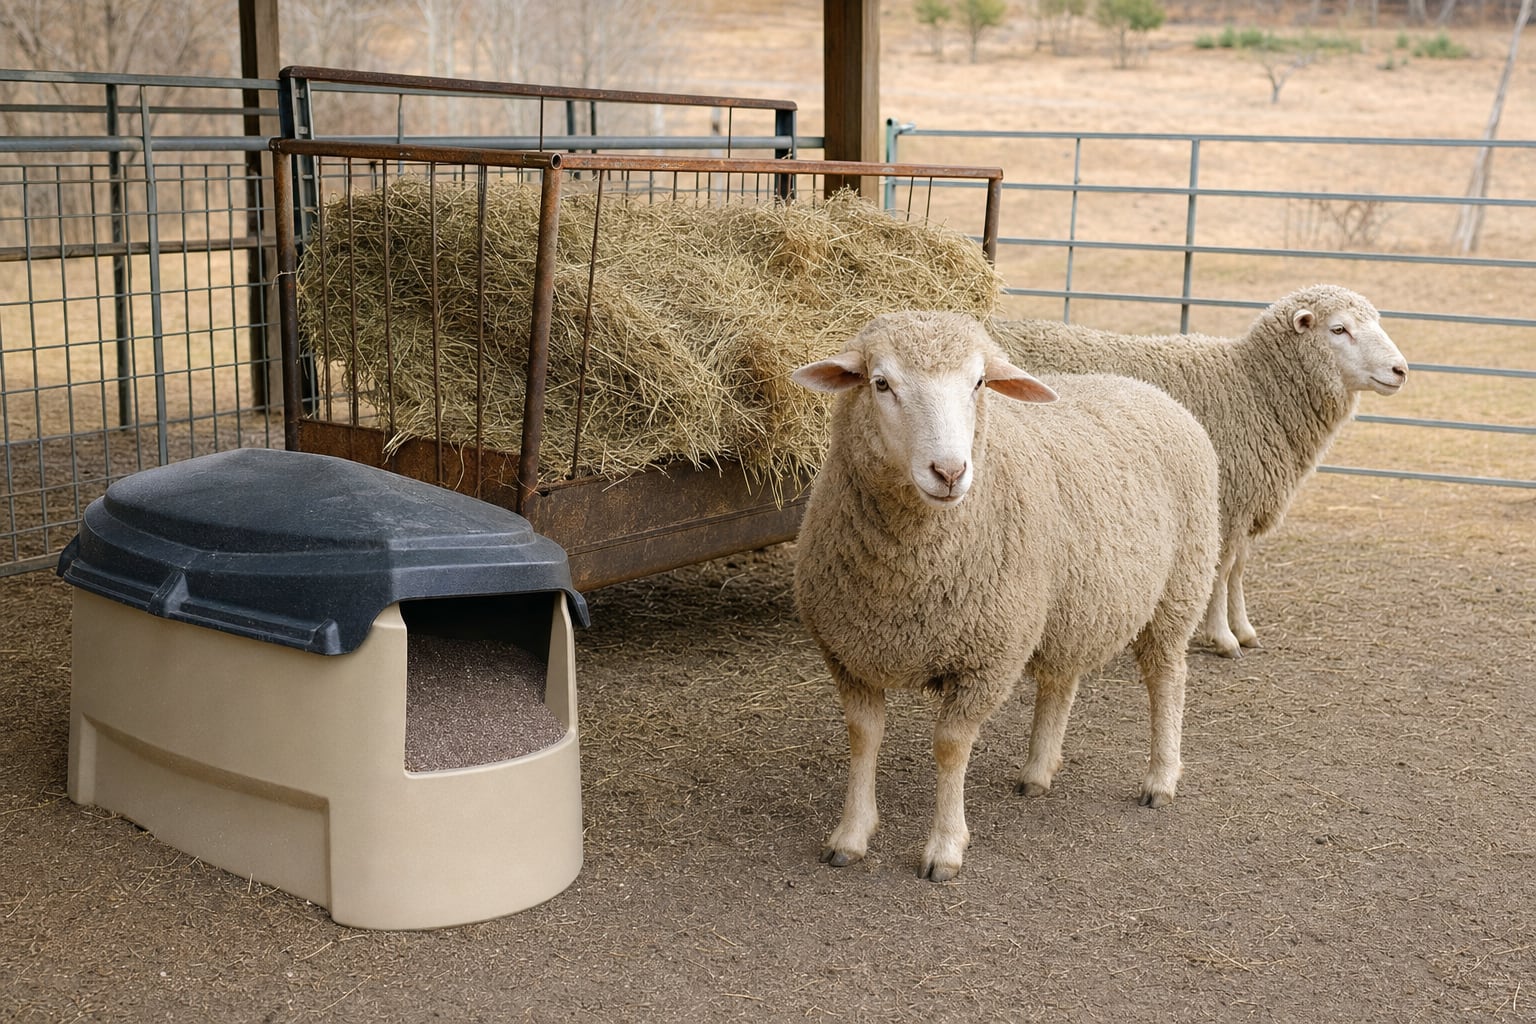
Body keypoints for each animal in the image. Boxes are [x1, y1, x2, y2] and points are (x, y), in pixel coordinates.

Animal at [791, 310, 1220, 882]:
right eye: (881, 383)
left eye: (978, 383)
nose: (949, 472)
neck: (907, 571)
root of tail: (1145, 387)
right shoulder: (847, 652)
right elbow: (863, 737)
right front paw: (851, 835)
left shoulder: (987, 657)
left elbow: (950, 747)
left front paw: (945, 848)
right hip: (1069, 603)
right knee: (1060, 679)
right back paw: (1037, 772)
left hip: (1179, 589)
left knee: (1166, 678)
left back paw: (1160, 778)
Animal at [989, 284, 1408, 659]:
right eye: (1339, 329)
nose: (1400, 370)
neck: (1254, 388)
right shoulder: (1227, 500)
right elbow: (1222, 571)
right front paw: (1223, 637)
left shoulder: (1244, 501)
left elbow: (1238, 569)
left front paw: (1244, 629)